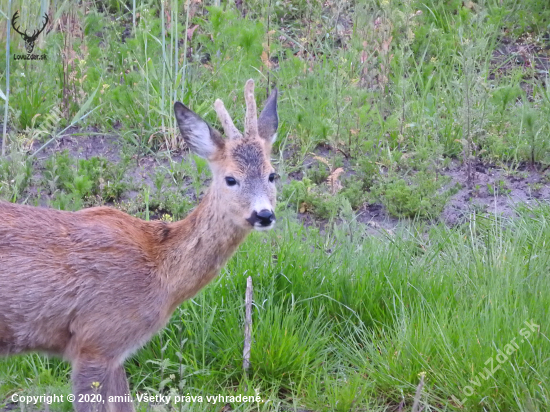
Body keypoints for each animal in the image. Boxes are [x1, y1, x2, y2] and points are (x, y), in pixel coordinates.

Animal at [0, 79, 280, 412]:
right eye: (230, 179)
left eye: (273, 175)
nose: (263, 214)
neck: (159, 271)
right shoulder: (95, 340)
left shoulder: (113, 350)